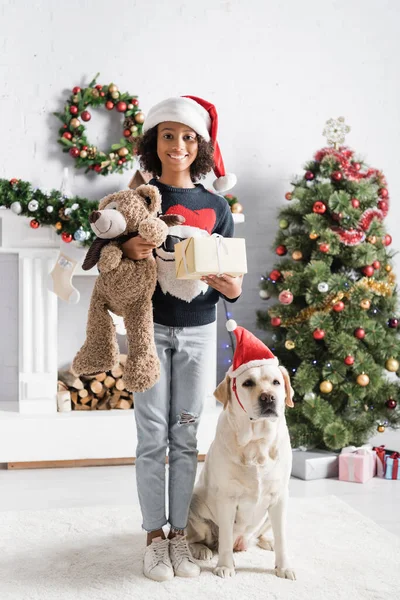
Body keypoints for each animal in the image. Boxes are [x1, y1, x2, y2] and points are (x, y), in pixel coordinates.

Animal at [187, 364, 294, 580]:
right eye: (248, 383)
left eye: (276, 382)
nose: (268, 397)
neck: (257, 443)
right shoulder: (227, 498)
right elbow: (226, 538)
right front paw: (225, 566)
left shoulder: (280, 496)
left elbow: (282, 538)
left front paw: (284, 567)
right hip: (193, 502)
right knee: (193, 538)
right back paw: (202, 550)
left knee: (262, 534)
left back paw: (267, 540)